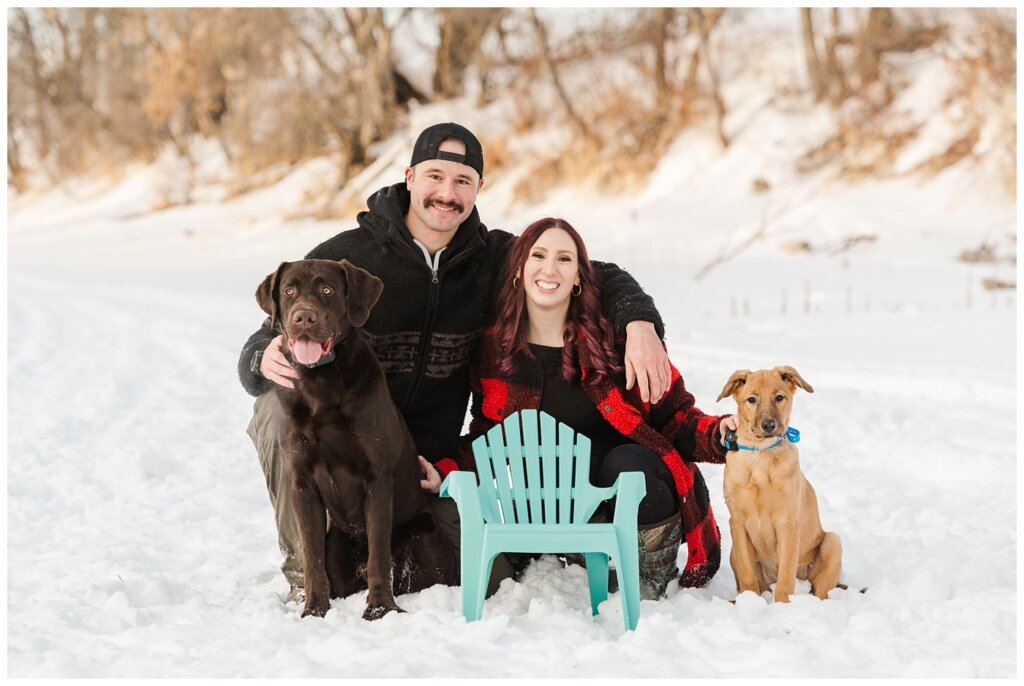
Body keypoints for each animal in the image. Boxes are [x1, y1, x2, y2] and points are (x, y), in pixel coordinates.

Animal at [720, 368, 839, 606]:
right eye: (752, 399)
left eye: (779, 397)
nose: (768, 426)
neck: (760, 455)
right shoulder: (736, 523)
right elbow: (747, 574)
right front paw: (749, 603)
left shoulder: (787, 524)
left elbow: (786, 577)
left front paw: (782, 608)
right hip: (732, 552)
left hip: (832, 542)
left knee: (819, 591)